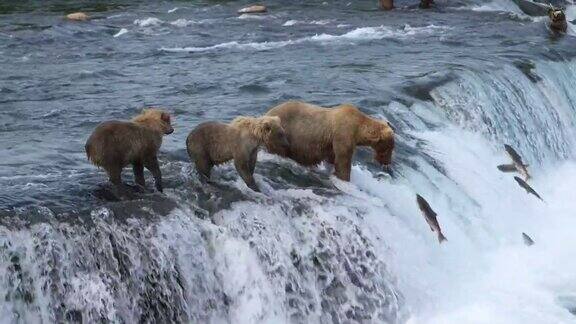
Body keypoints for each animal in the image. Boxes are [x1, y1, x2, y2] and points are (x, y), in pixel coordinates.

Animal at [266, 100, 396, 181]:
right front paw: (344, 178)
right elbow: (343, 162)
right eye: (390, 148)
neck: (358, 129)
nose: (387, 162)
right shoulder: (343, 134)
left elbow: (333, 158)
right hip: (281, 133)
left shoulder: (332, 143)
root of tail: (267, 113)